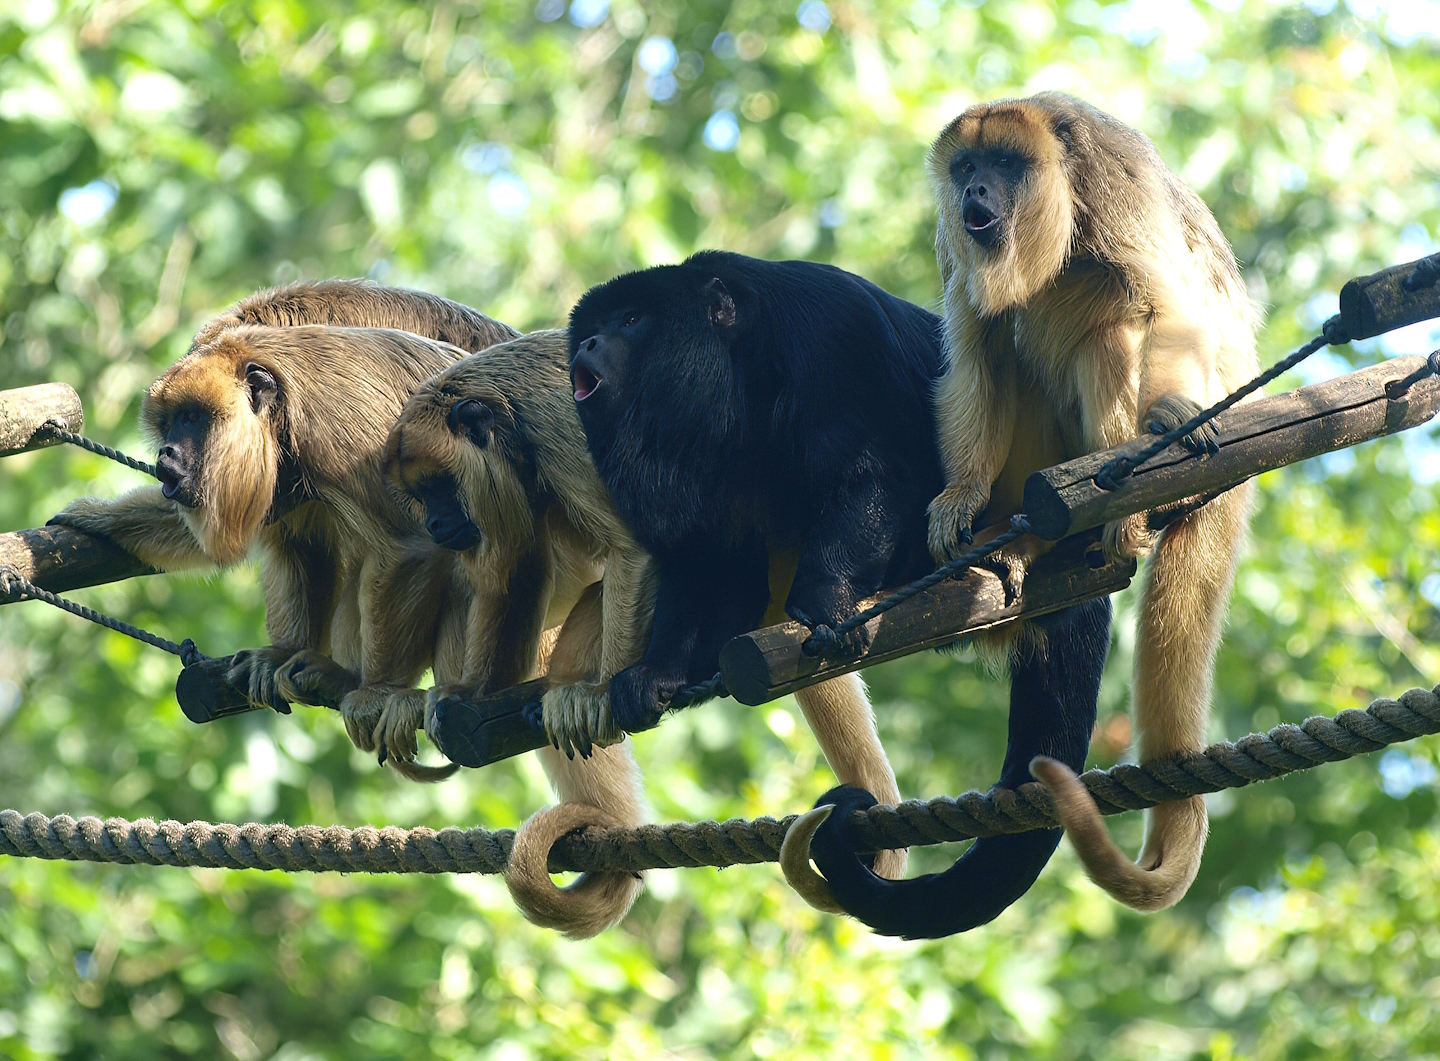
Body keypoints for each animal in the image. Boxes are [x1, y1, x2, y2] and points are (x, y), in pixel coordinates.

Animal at [567, 250, 1112, 936]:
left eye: (631, 320)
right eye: (595, 326)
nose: (587, 342)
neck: (738, 370)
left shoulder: (830, 334)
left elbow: (869, 475)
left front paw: (824, 606)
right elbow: (707, 557)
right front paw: (657, 670)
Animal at [923, 92, 1259, 912]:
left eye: (1004, 165)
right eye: (966, 166)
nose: (977, 192)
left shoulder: (1112, 174)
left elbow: (1164, 306)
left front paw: (1168, 416)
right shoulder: (953, 239)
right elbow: (974, 347)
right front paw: (961, 497)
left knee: (1111, 321)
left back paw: (1125, 516)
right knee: (1012, 339)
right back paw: (1026, 544)